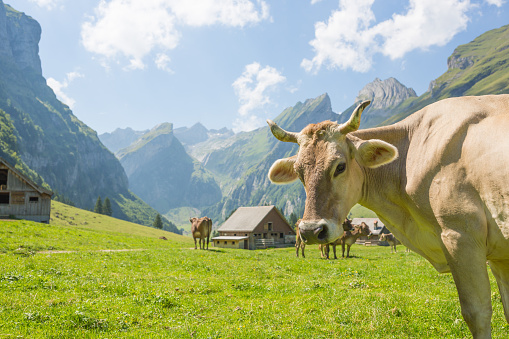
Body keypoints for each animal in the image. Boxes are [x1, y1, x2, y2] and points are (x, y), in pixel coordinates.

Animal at [266, 96, 508, 339]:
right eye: (299, 173)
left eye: (340, 166)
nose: (311, 230)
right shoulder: (496, 254)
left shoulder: (461, 237)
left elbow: (477, 313)